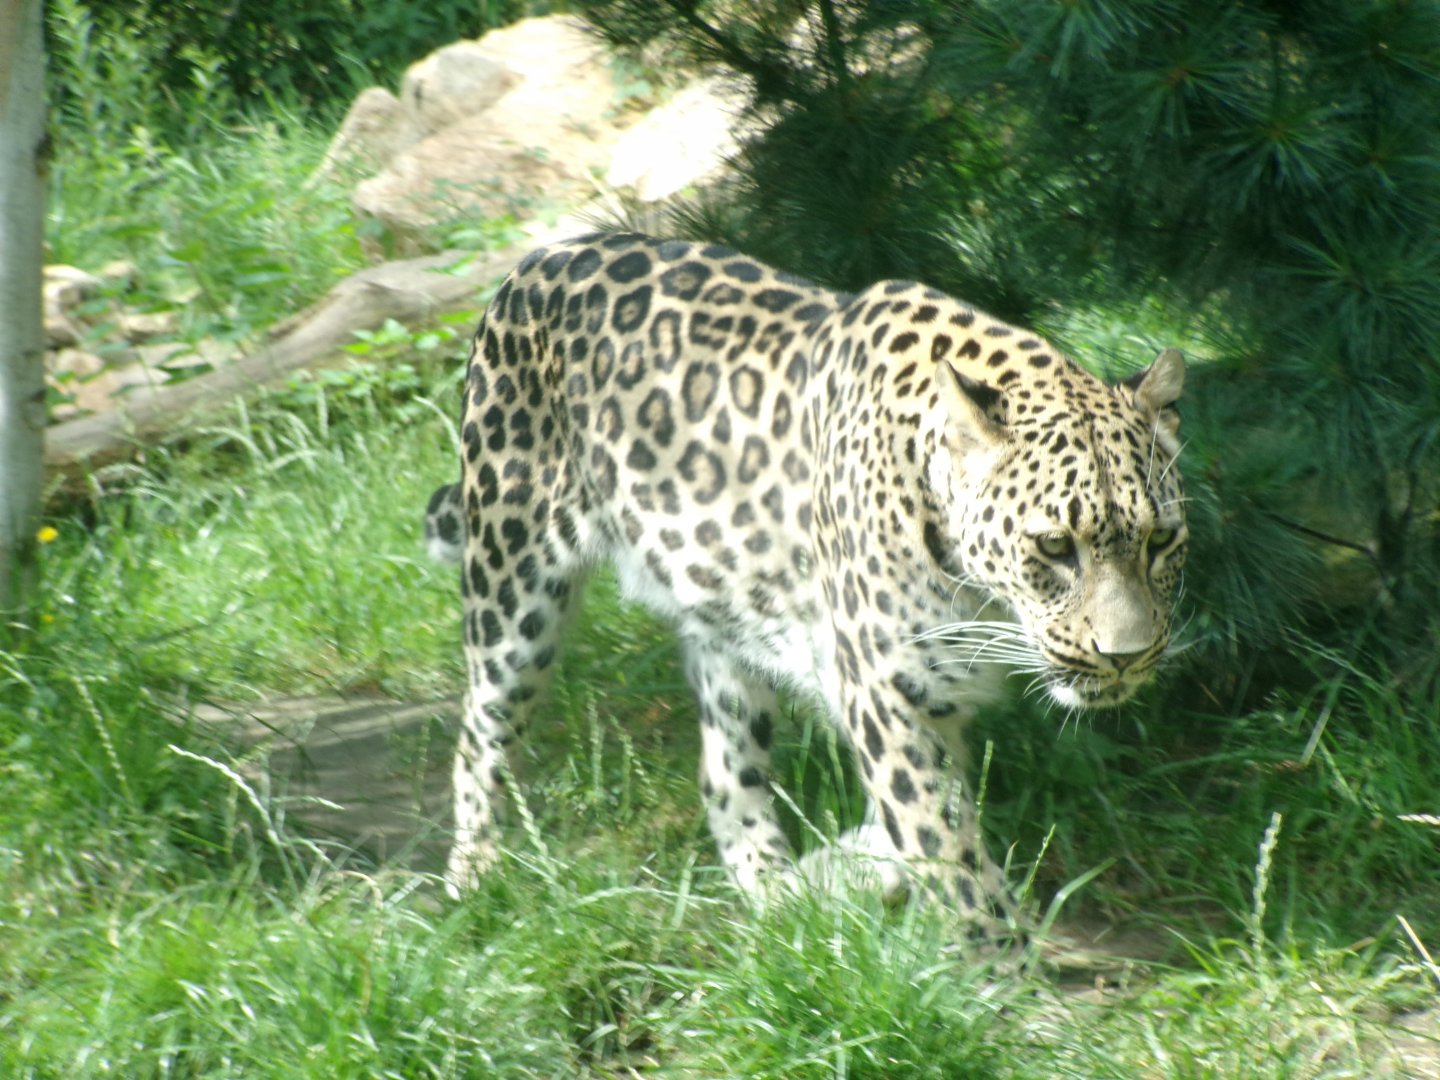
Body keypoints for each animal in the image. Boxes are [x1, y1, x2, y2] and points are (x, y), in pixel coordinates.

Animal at [425, 231, 1186, 942]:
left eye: (1161, 542)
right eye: (1054, 547)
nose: (1125, 657)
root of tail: (540, 260)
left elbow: (919, 823)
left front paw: (863, 864)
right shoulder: (884, 691)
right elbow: (946, 849)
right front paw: (998, 961)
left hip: (723, 616)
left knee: (725, 773)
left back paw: (778, 890)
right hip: (512, 584)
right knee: (479, 733)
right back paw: (475, 875)